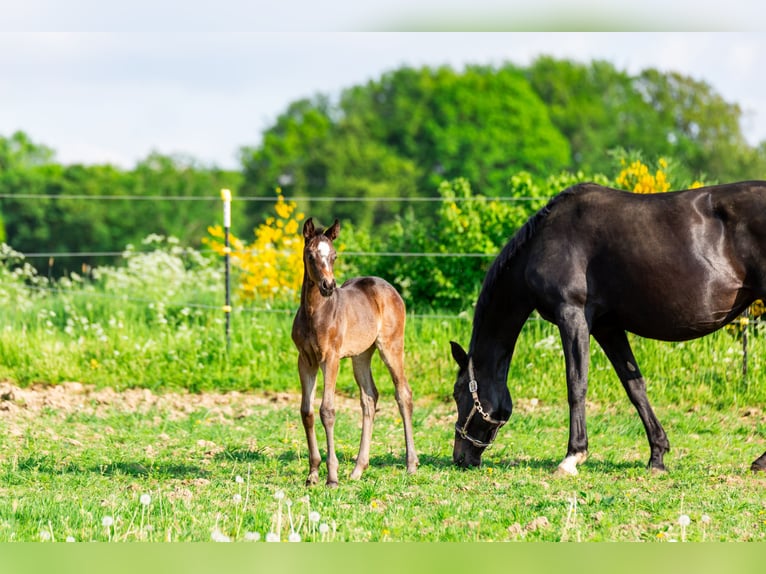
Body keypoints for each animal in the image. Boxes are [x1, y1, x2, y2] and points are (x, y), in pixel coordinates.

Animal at [291, 217, 419, 486]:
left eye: (334, 256)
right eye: (310, 255)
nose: (328, 286)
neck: (315, 313)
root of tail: (390, 289)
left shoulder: (330, 358)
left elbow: (327, 410)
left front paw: (331, 476)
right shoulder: (305, 360)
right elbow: (307, 411)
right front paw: (312, 473)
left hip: (391, 346)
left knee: (403, 393)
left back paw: (411, 464)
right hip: (361, 355)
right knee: (369, 398)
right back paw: (358, 468)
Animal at [450, 181, 766, 475]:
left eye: (457, 392)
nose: (460, 458)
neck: (544, 240)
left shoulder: (572, 315)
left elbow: (576, 384)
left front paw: (573, 456)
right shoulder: (607, 326)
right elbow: (634, 386)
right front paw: (657, 456)